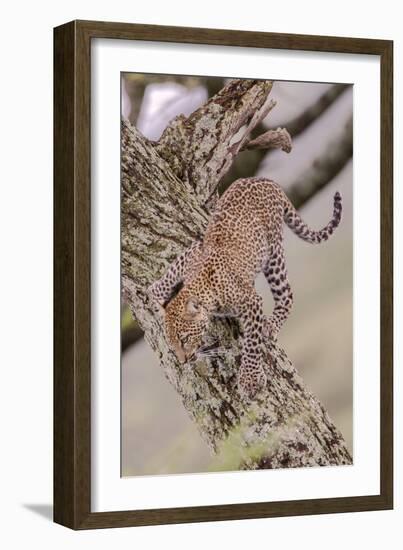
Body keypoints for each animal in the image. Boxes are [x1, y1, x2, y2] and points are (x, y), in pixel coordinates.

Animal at [150, 179, 342, 398]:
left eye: (184, 339)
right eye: (173, 345)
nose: (183, 361)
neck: (205, 290)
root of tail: (266, 181)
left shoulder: (251, 302)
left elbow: (251, 342)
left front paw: (250, 379)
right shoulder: (192, 253)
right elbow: (170, 274)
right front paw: (156, 297)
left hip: (273, 253)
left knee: (286, 294)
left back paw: (271, 325)